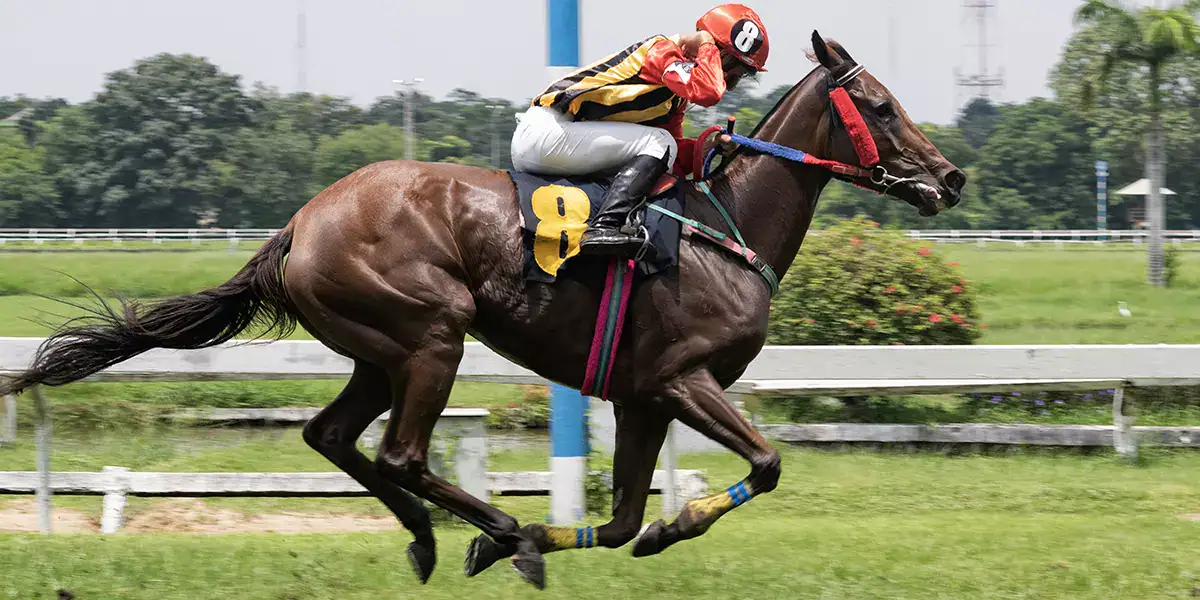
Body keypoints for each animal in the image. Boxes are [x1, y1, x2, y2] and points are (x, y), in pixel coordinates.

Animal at [0, 31, 964, 589]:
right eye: (880, 107)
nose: (950, 177)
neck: (720, 229)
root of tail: (301, 222)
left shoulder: (640, 396)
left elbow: (620, 521)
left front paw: (624, 532)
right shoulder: (682, 378)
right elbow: (764, 464)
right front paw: (654, 527)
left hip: (376, 349)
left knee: (334, 437)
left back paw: (432, 538)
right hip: (431, 333)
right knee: (398, 450)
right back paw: (495, 532)